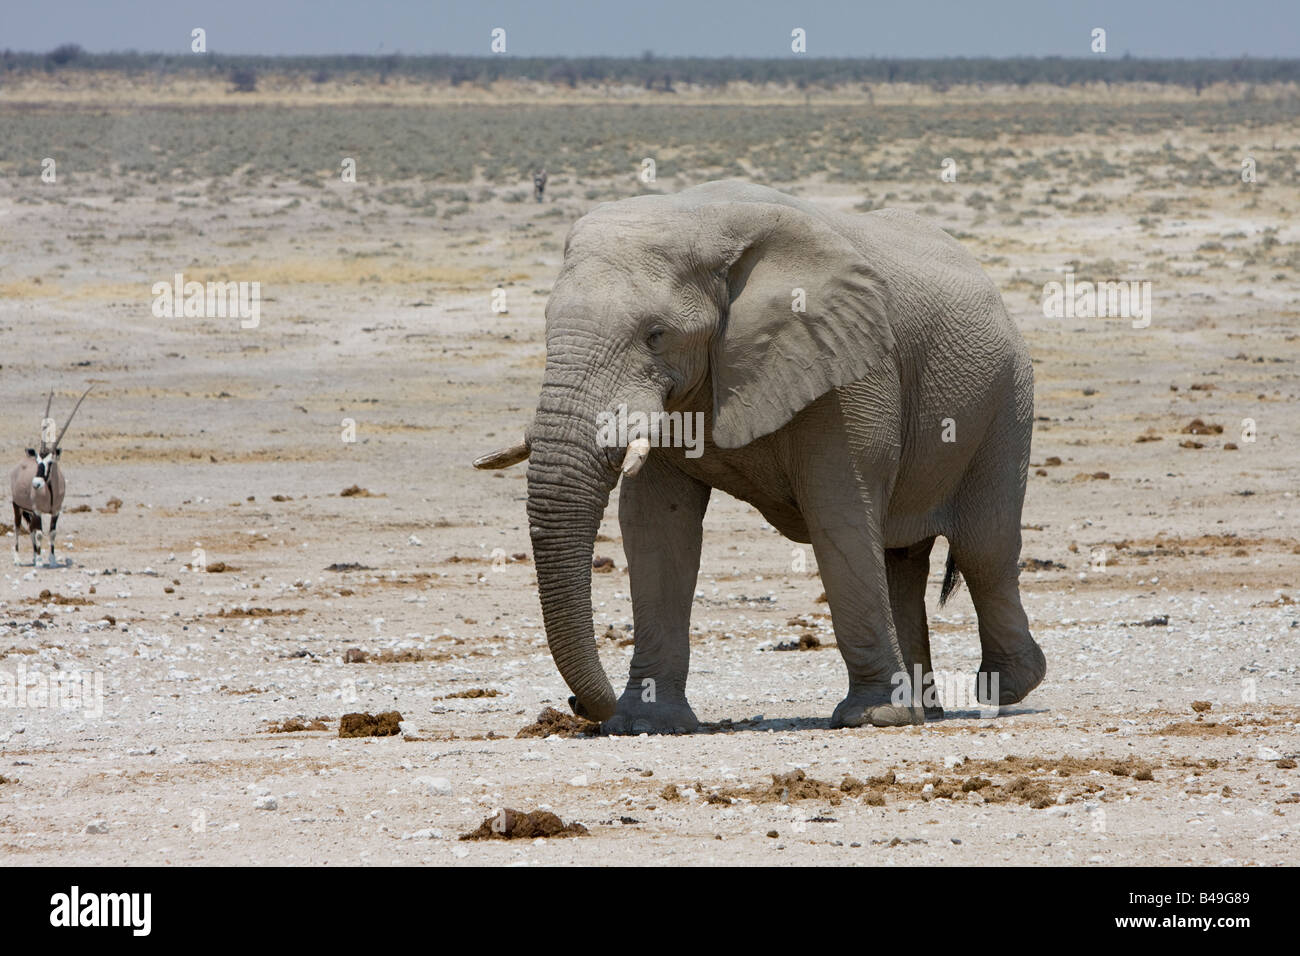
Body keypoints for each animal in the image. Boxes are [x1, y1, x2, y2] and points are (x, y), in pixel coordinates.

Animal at [10, 387, 92, 567]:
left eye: (50, 462)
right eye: (38, 461)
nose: (36, 483)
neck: (50, 491)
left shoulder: (55, 510)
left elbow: (52, 532)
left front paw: (51, 560)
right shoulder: (38, 511)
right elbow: (40, 533)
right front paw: (41, 561)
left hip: (29, 511)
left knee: (31, 530)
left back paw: (34, 556)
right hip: (17, 506)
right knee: (18, 527)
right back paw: (18, 559)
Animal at [478, 179, 1045, 733]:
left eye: (656, 336)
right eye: (547, 325)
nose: (576, 705)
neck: (704, 222)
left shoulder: (846, 366)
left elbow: (839, 512)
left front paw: (872, 718)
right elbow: (656, 526)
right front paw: (645, 722)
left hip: (1007, 400)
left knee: (984, 548)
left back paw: (1006, 689)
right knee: (902, 559)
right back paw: (926, 711)